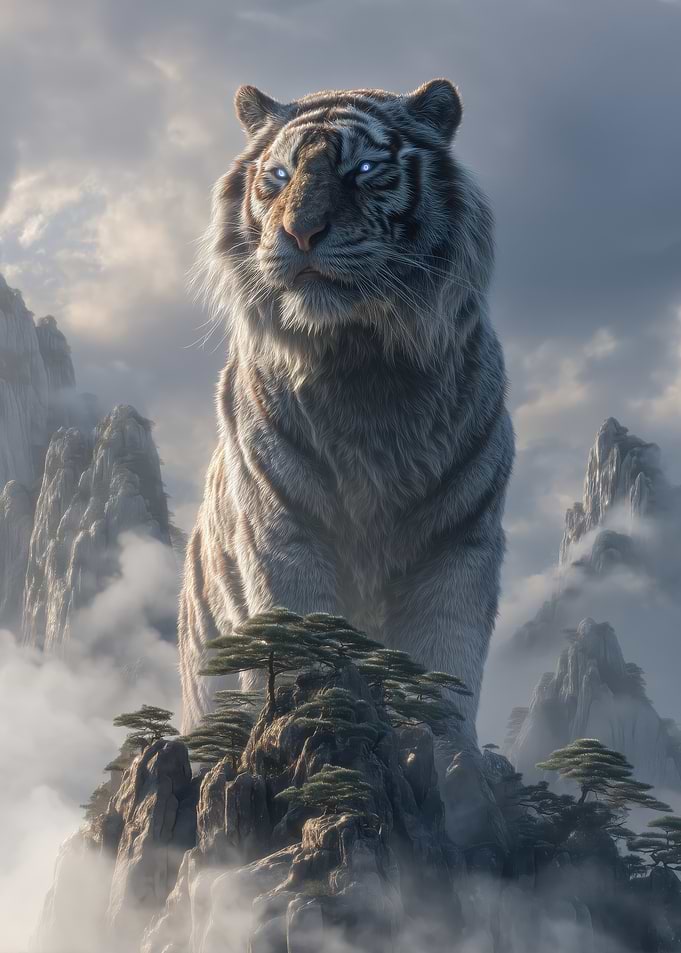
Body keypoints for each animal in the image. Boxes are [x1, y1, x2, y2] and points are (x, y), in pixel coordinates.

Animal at [179, 79, 515, 760]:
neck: (360, 364)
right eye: (279, 175)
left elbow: (446, 656)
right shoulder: (281, 533)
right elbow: (297, 636)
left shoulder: (460, 542)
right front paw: (305, 724)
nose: (300, 233)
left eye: (361, 170)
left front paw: (447, 751)